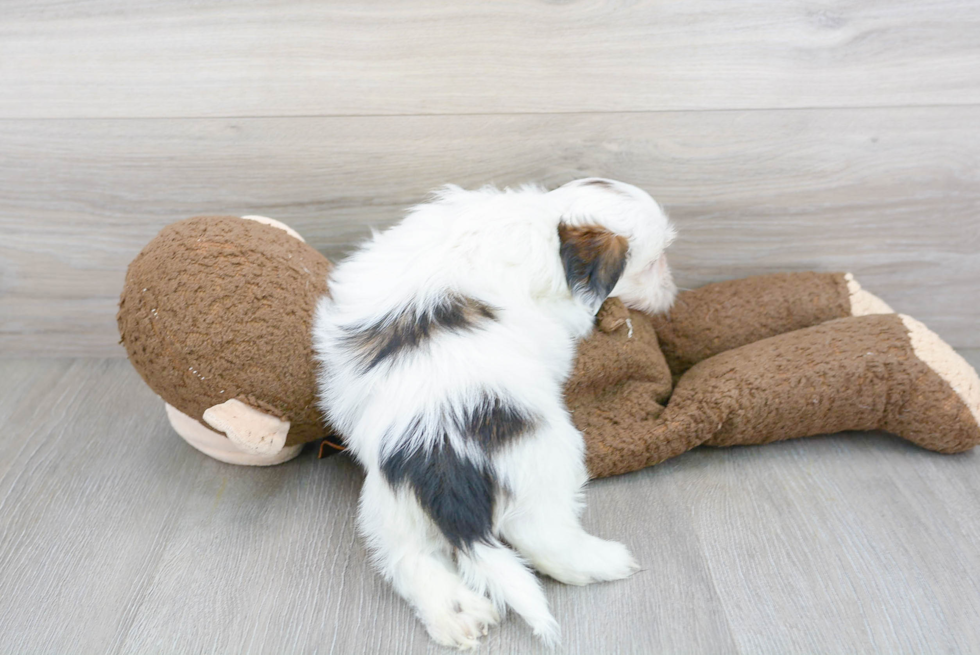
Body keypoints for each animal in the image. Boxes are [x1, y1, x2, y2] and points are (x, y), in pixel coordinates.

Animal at [312, 177, 672, 648]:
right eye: (654, 261)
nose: (672, 292)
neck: (546, 220)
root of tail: (442, 461)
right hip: (547, 456)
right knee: (540, 534)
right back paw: (603, 560)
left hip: (389, 503)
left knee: (407, 556)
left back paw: (457, 615)